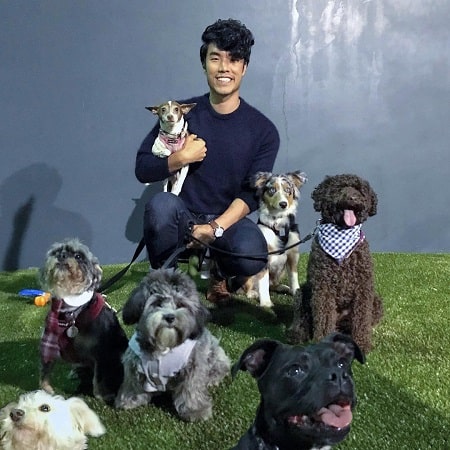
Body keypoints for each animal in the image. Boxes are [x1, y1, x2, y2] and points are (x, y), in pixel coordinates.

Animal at [114, 268, 230, 422]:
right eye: (157, 302)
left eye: (181, 304)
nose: (170, 317)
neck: (165, 345)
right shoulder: (133, 361)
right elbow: (132, 382)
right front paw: (129, 400)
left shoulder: (194, 365)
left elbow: (191, 388)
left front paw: (195, 410)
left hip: (215, 355)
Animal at [241, 171, 308, 308]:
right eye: (272, 190)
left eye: (288, 190)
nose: (283, 204)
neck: (278, 224)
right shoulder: (263, 256)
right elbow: (263, 281)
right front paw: (266, 303)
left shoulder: (293, 254)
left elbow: (294, 276)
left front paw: (296, 291)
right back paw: (253, 293)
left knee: (273, 285)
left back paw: (283, 287)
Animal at [288, 174, 384, 354]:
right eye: (339, 188)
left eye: (359, 190)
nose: (353, 198)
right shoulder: (323, 288)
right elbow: (324, 318)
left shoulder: (363, 288)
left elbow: (361, 319)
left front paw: (362, 344)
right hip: (302, 292)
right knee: (302, 320)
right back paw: (296, 335)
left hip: (376, 301)